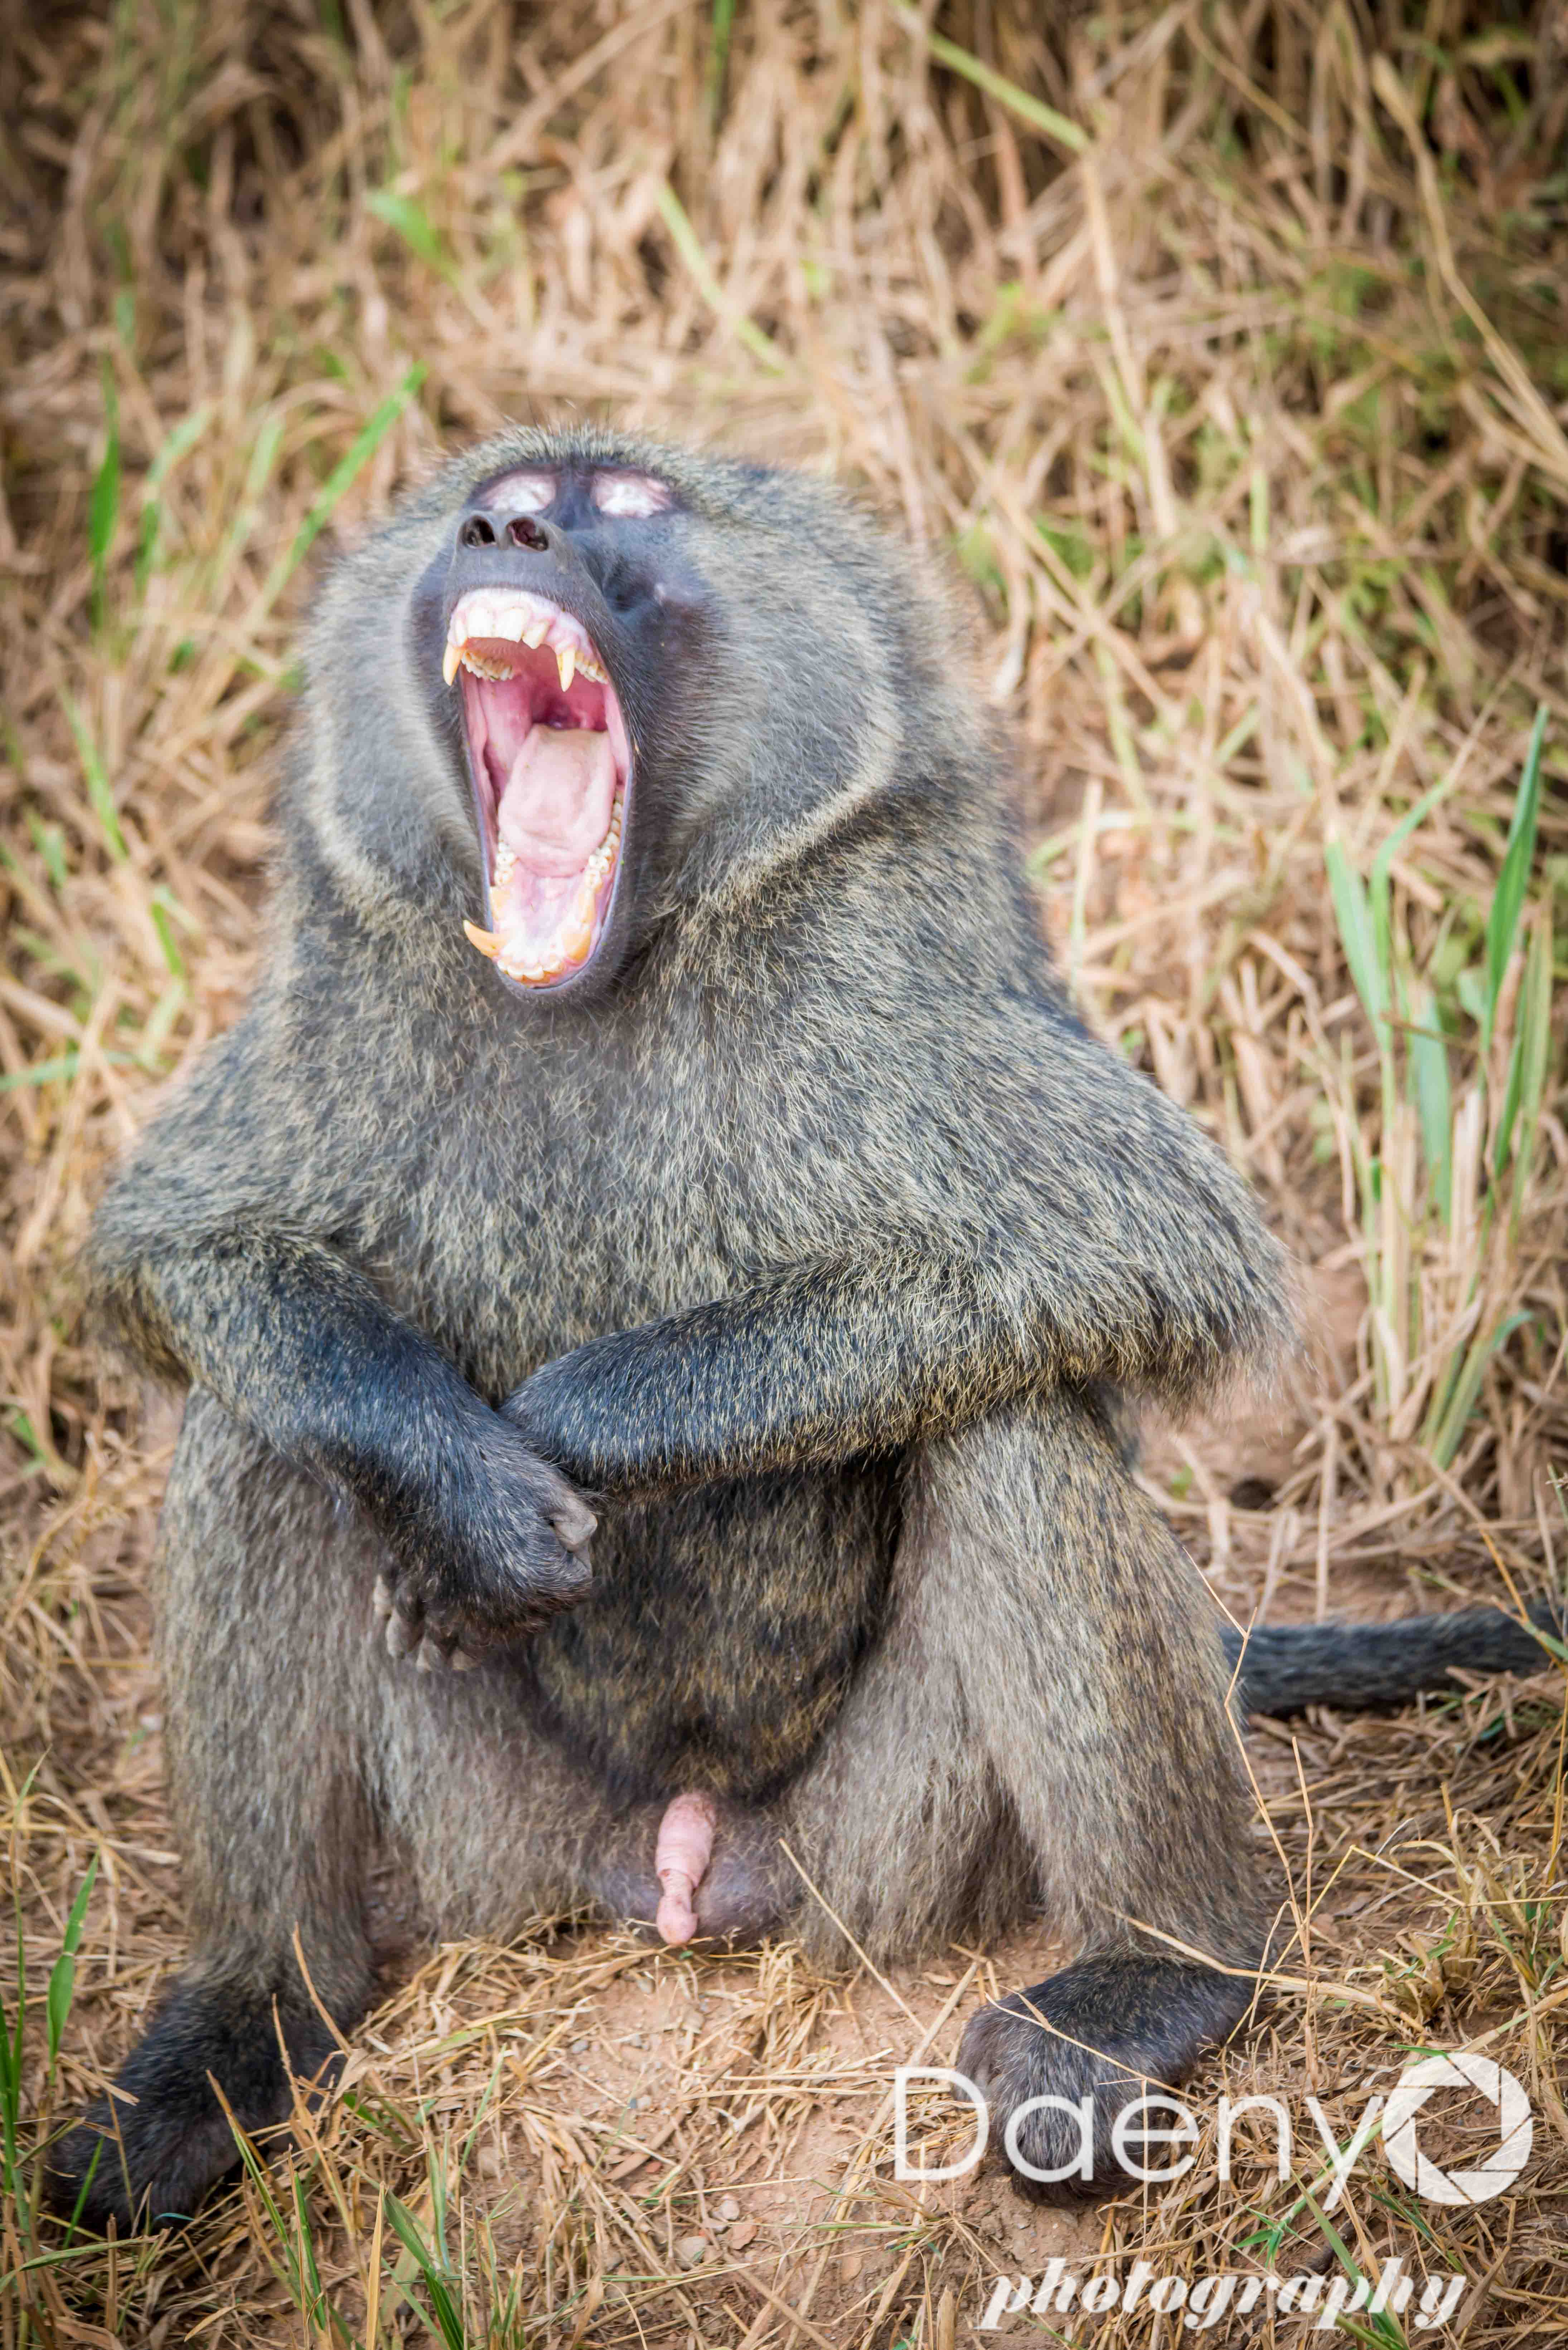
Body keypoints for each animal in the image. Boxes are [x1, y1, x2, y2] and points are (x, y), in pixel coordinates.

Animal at [45, 427, 1564, 2232]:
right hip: (496, 1843)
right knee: (256, 1427)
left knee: (1008, 1421)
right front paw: (457, 1481)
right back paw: (244, 2010)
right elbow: (181, 1248)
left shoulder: (886, 982)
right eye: (496, 496)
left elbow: (1138, 1246)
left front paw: (569, 1437)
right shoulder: (345, 998)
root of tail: (683, 1859)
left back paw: (1159, 1969)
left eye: (628, 503)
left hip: (888, 1847)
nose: (504, 531)